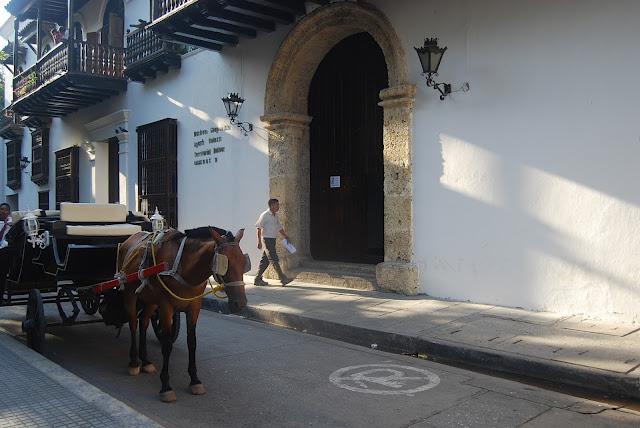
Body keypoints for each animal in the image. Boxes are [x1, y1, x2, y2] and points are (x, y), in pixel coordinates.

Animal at [117, 227, 248, 402]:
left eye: (243, 262)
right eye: (224, 264)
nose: (240, 303)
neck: (183, 266)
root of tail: (128, 240)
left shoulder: (194, 307)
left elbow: (192, 343)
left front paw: (195, 380)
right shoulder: (166, 307)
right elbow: (167, 345)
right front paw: (166, 386)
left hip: (151, 300)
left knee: (143, 322)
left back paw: (145, 361)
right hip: (130, 294)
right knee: (133, 323)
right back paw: (134, 362)